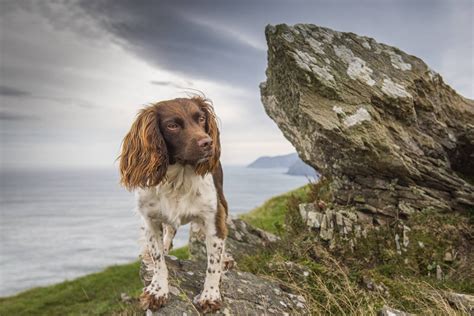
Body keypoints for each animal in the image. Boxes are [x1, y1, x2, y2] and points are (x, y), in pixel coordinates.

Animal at [119, 97, 229, 314]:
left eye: (201, 118)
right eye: (172, 125)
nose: (208, 143)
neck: (178, 178)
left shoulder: (214, 217)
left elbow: (213, 263)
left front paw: (210, 295)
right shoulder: (150, 220)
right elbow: (158, 259)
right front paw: (157, 290)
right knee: (169, 231)